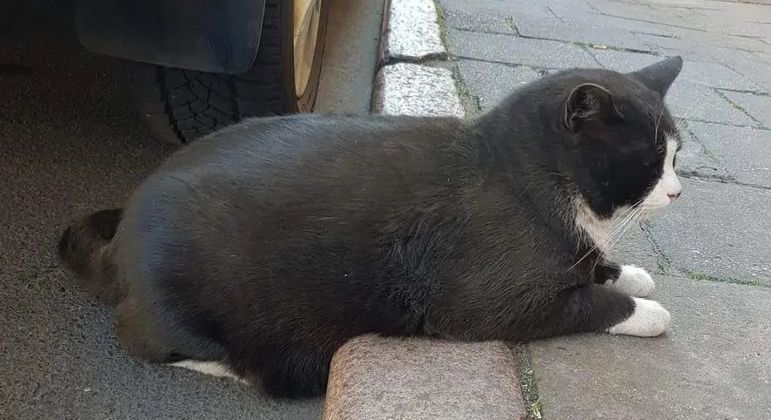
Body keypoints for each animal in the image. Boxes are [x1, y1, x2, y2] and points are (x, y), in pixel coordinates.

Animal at [61, 57, 688, 398]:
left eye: (675, 154)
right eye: (651, 158)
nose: (678, 190)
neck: (523, 173)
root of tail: (121, 234)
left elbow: (594, 267)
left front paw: (626, 272)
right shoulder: (489, 305)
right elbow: (585, 302)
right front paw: (644, 310)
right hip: (186, 313)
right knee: (146, 341)